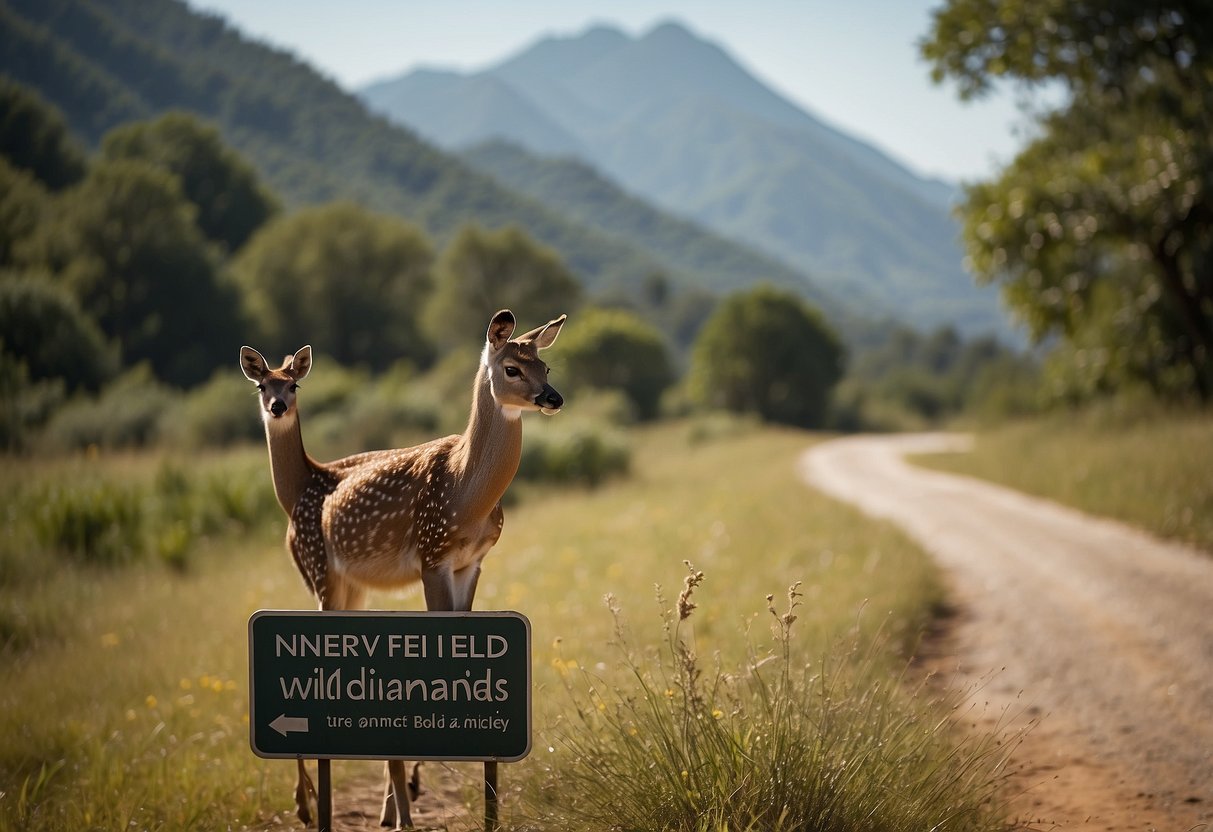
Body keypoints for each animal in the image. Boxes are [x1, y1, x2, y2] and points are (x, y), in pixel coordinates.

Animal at [243, 310, 570, 829]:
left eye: (546, 366)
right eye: (513, 369)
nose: (553, 398)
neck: (465, 490)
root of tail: (294, 507)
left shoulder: (472, 563)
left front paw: (410, 786)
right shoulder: (432, 555)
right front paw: (406, 791)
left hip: (351, 586)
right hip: (319, 569)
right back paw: (309, 803)